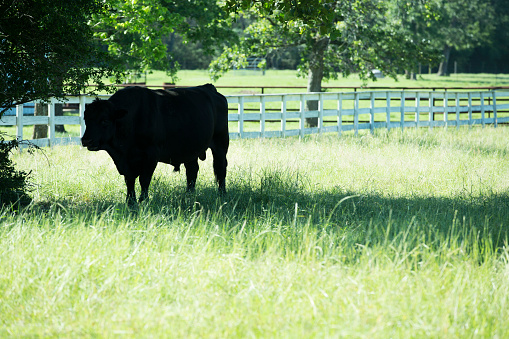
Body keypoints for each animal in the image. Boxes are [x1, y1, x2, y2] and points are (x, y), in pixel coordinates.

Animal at [81, 84, 228, 203]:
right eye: (86, 119)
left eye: (104, 120)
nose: (86, 140)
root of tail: (208, 87)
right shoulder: (127, 162)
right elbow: (129, 180)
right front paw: (130, 201)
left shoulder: (151, 154)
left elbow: (144, 179)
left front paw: (143, 200)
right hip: (190, 149)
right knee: (192, 171)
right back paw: (189, 195)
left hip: (221, 142)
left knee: (220, 167)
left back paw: (222, 194)